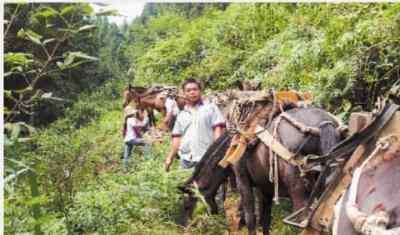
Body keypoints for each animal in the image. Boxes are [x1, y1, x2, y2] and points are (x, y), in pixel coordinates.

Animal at [180, 107, 342, 235]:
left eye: (187, 205)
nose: (186, 228)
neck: (229, 148)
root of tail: (323, 124)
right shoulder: (264, 188)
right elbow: (265, 219)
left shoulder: (242, 180)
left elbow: (251, 217)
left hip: (298, 189)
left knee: (304, 218)